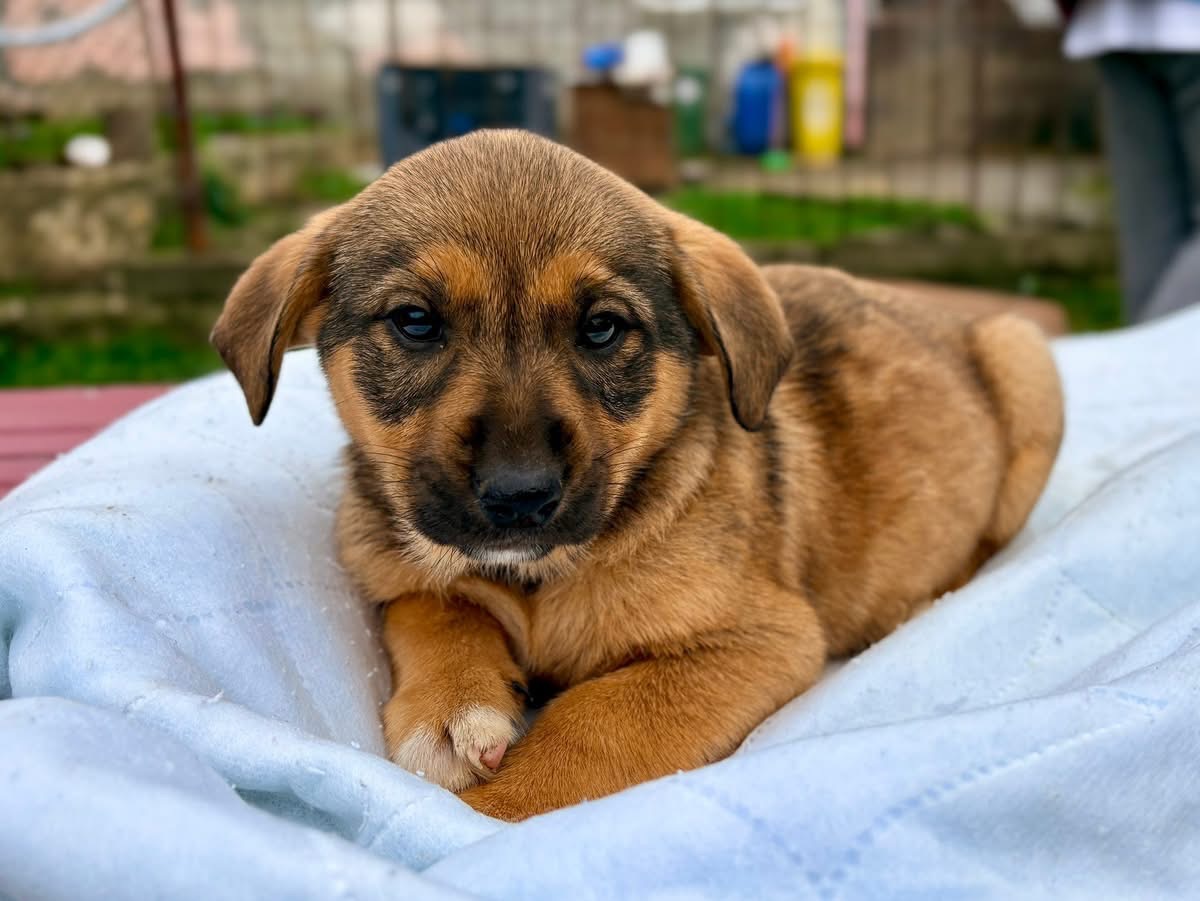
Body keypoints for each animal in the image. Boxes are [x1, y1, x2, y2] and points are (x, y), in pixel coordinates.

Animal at [212, 130, 1064, 821]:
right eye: (415, 321)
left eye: (602, 327)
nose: (519, 495)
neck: (539, 579)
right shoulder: (393, 568)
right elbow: (437, 607)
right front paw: (452, 708)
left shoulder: (760, 637)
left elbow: (596, 723)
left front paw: (493, 810)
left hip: (1028, 361)